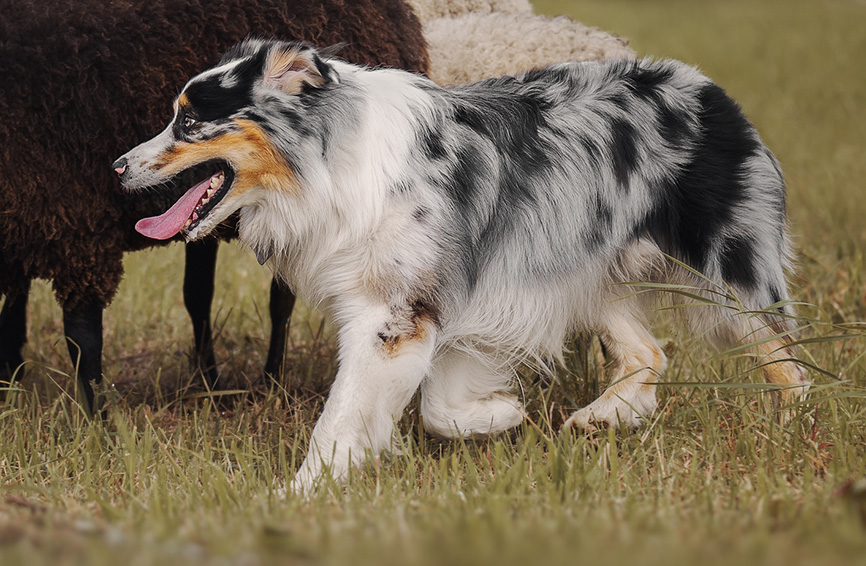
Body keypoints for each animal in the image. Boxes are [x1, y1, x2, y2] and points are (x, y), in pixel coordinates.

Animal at [0, 0, 428, 410]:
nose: (118, 169)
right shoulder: (30, 227)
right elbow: (17, 315)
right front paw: (10, 388)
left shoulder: (76, 229)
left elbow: (82, 337)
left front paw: (96, 422)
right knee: (200, 294)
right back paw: (210, 383)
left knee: (279, 301)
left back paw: (269, 382)